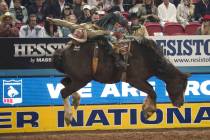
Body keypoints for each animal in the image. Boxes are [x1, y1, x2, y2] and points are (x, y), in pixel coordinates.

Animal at [53, 36, 190, 124]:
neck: (147, 57)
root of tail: (64, 50)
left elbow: (150, 90)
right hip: (81, 80)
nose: (180, 103)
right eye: (181, 86)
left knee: (64, 83)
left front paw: (146, 107)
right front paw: (149, 111)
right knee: (64, 92)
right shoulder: (135, 80)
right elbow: (152, 91)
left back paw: (76, 99)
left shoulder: (141, 81)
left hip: (76, 78)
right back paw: (68, 116)